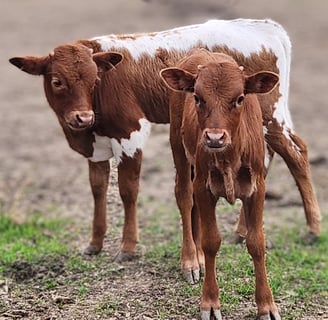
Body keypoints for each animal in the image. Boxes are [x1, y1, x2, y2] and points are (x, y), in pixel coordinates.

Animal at [9, 19, 320, 280]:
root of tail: (264, 26)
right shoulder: (96, 145)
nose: (82, 118)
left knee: (296, 155)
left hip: (270, 118)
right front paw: (95, 243)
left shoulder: (130, 134)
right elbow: (98, 189)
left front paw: (128, 247)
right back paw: (242, 232)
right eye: (57, 81)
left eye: (93, 79)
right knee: (272, 158)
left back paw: (313, 229)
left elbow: (128, 191)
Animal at [160, 48, 280, 320]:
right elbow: (211, 241)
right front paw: (210, 303)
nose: (214, 138)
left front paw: (266, 305)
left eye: (239, 98)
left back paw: (198, 258)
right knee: (184, 196)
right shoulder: (204, 187)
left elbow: (256, 243)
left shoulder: (257, 188)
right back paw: (191, 260)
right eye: (197, 97)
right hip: (178, 147)